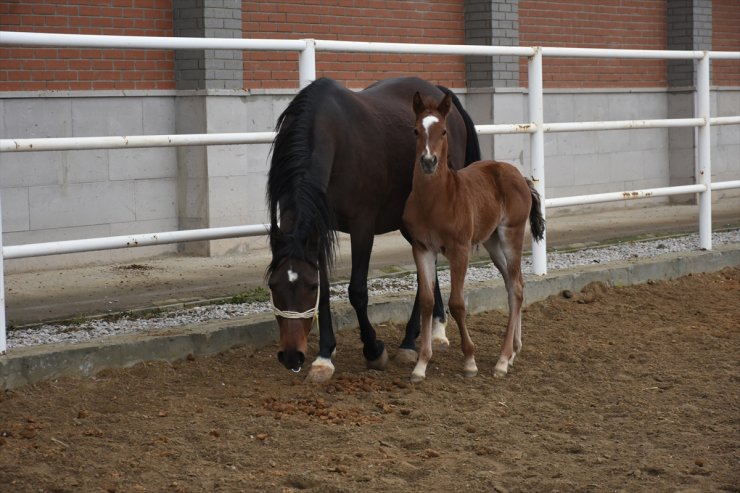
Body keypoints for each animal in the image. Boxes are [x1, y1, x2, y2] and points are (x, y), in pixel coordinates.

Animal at [266, 76, 480, 380]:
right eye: (273, 285)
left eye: (309, 286)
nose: (291, 356)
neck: (334, 135)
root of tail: (439, 90)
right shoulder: (318, 228)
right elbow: (327, 294)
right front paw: (324, 355)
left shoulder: (362, 226)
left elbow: (357, 291)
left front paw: (374, 349)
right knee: (427, 271)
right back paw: (435, 330)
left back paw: (409, 341)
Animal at [402, 90, 548, 380]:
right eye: (415, 131)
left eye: (444, 131)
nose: (428, 162)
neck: (436, 200)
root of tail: (521, 177)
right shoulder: (422, 248)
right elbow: (426, 301)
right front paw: (421, 365)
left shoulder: (460, 250)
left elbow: (457, 302)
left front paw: (469, 360)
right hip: (492, 242)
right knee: (515, 284)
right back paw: (513, 352)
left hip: (511, 234)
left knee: (516, 288)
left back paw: (502, 360)